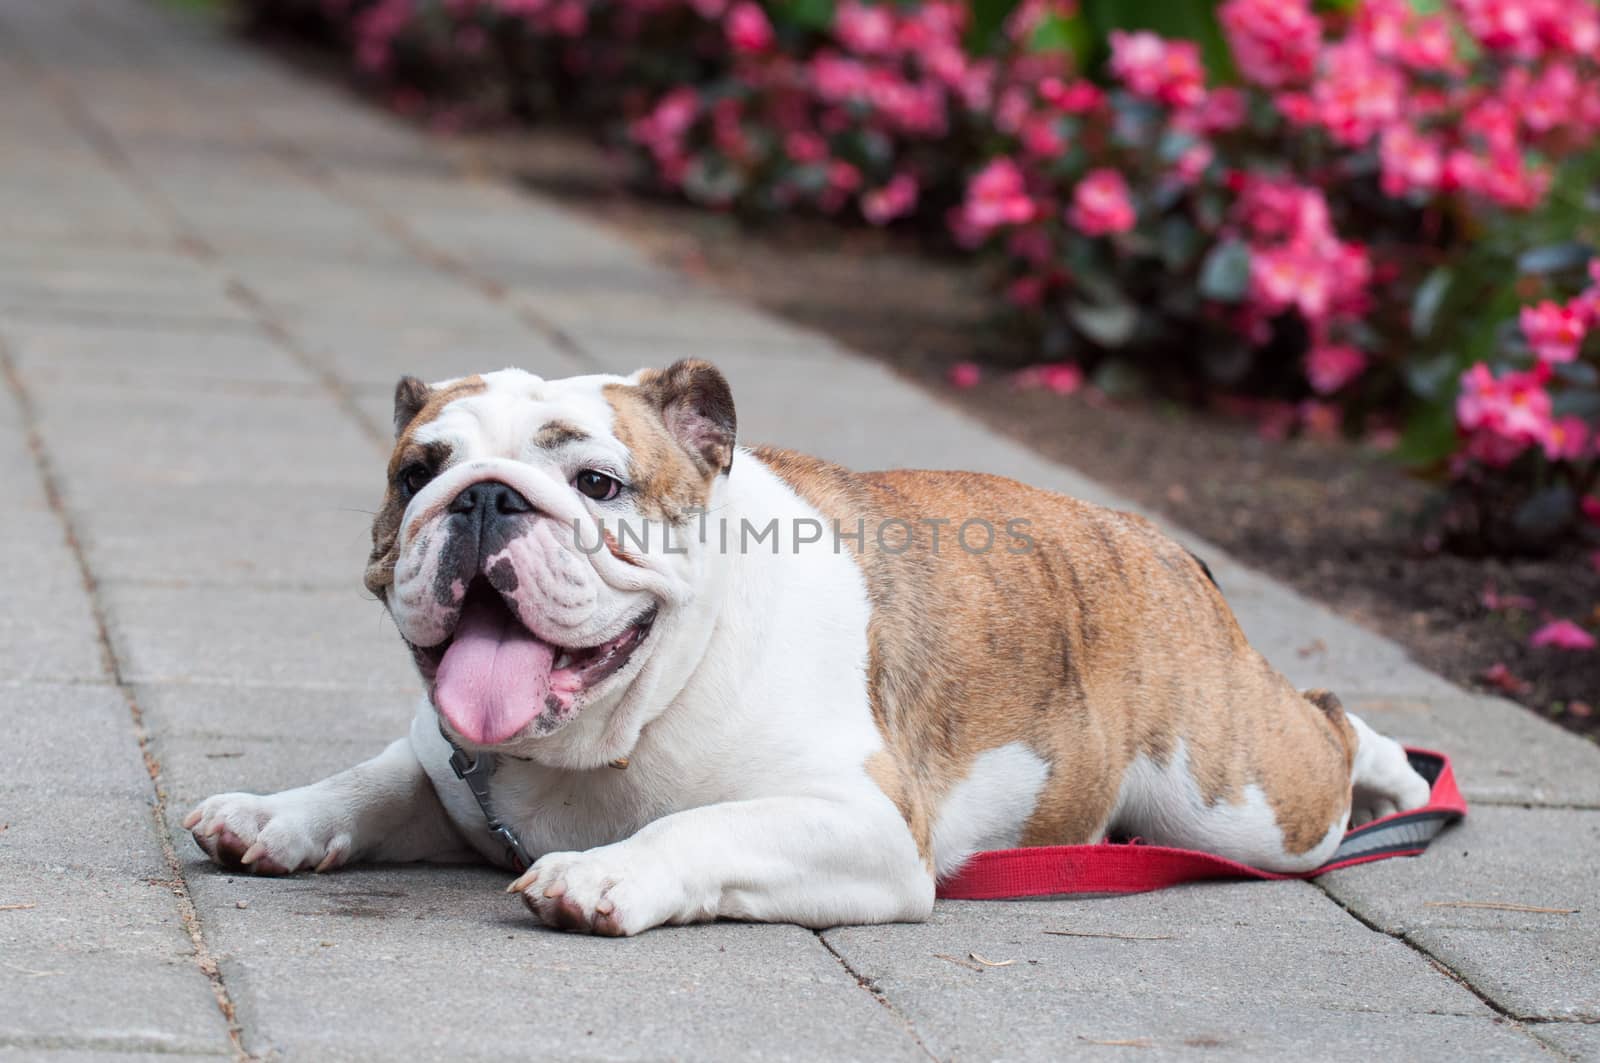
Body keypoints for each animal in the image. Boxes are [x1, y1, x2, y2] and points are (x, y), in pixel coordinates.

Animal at [190, 361, 1440, 934]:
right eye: (418, 469)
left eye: (596, 481)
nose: (486, 497)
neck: (618, 726)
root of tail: (1159, 540)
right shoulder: (445, 766)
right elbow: (369, 779)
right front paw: (273, 815)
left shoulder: (862, 824)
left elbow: (701, 825)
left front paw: (604, 871)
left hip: (1235, 798)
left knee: (1330, 726)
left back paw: (1397, 779)